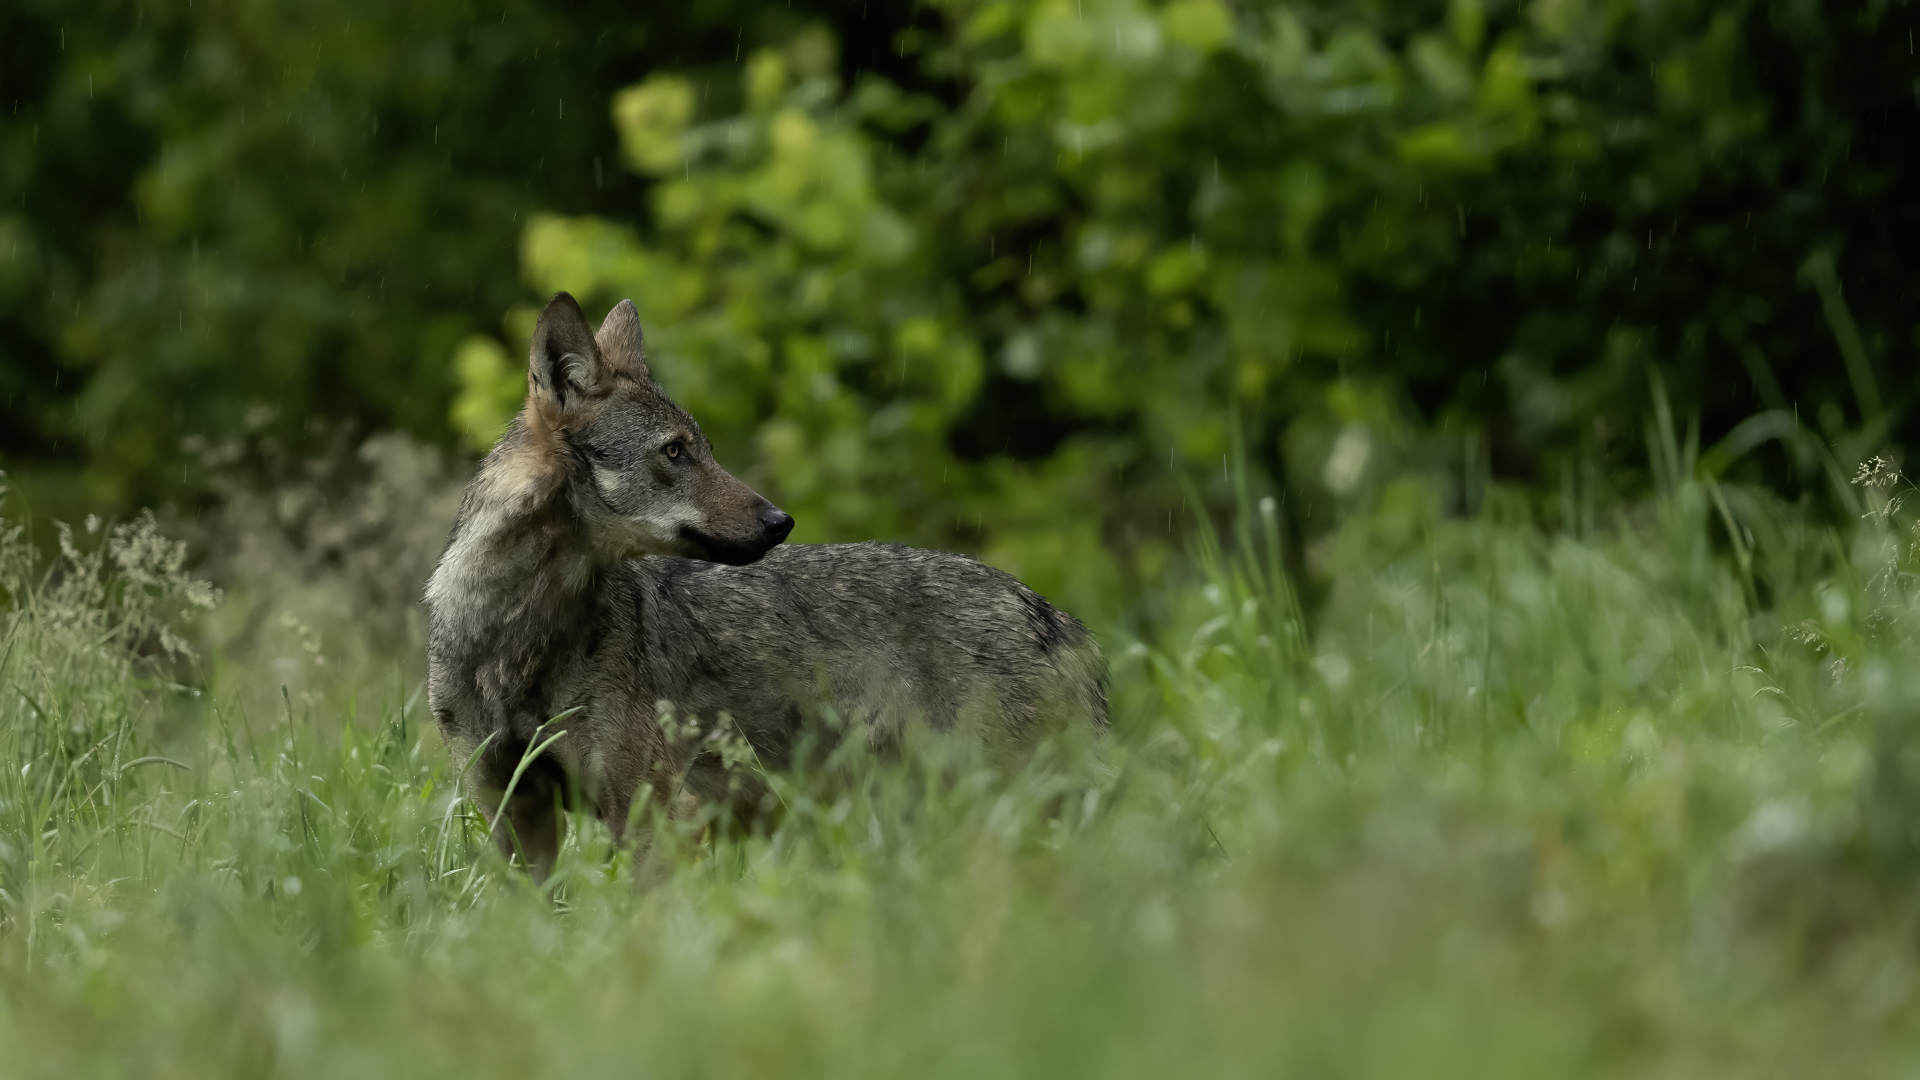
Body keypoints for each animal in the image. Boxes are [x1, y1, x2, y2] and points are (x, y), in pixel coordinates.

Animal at [425, 292, 1107, 880]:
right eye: (674, 452)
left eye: (701, 448)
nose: (781, 521)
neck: (513, 640)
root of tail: (1051, 615)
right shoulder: (513, 814)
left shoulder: (650, 813)